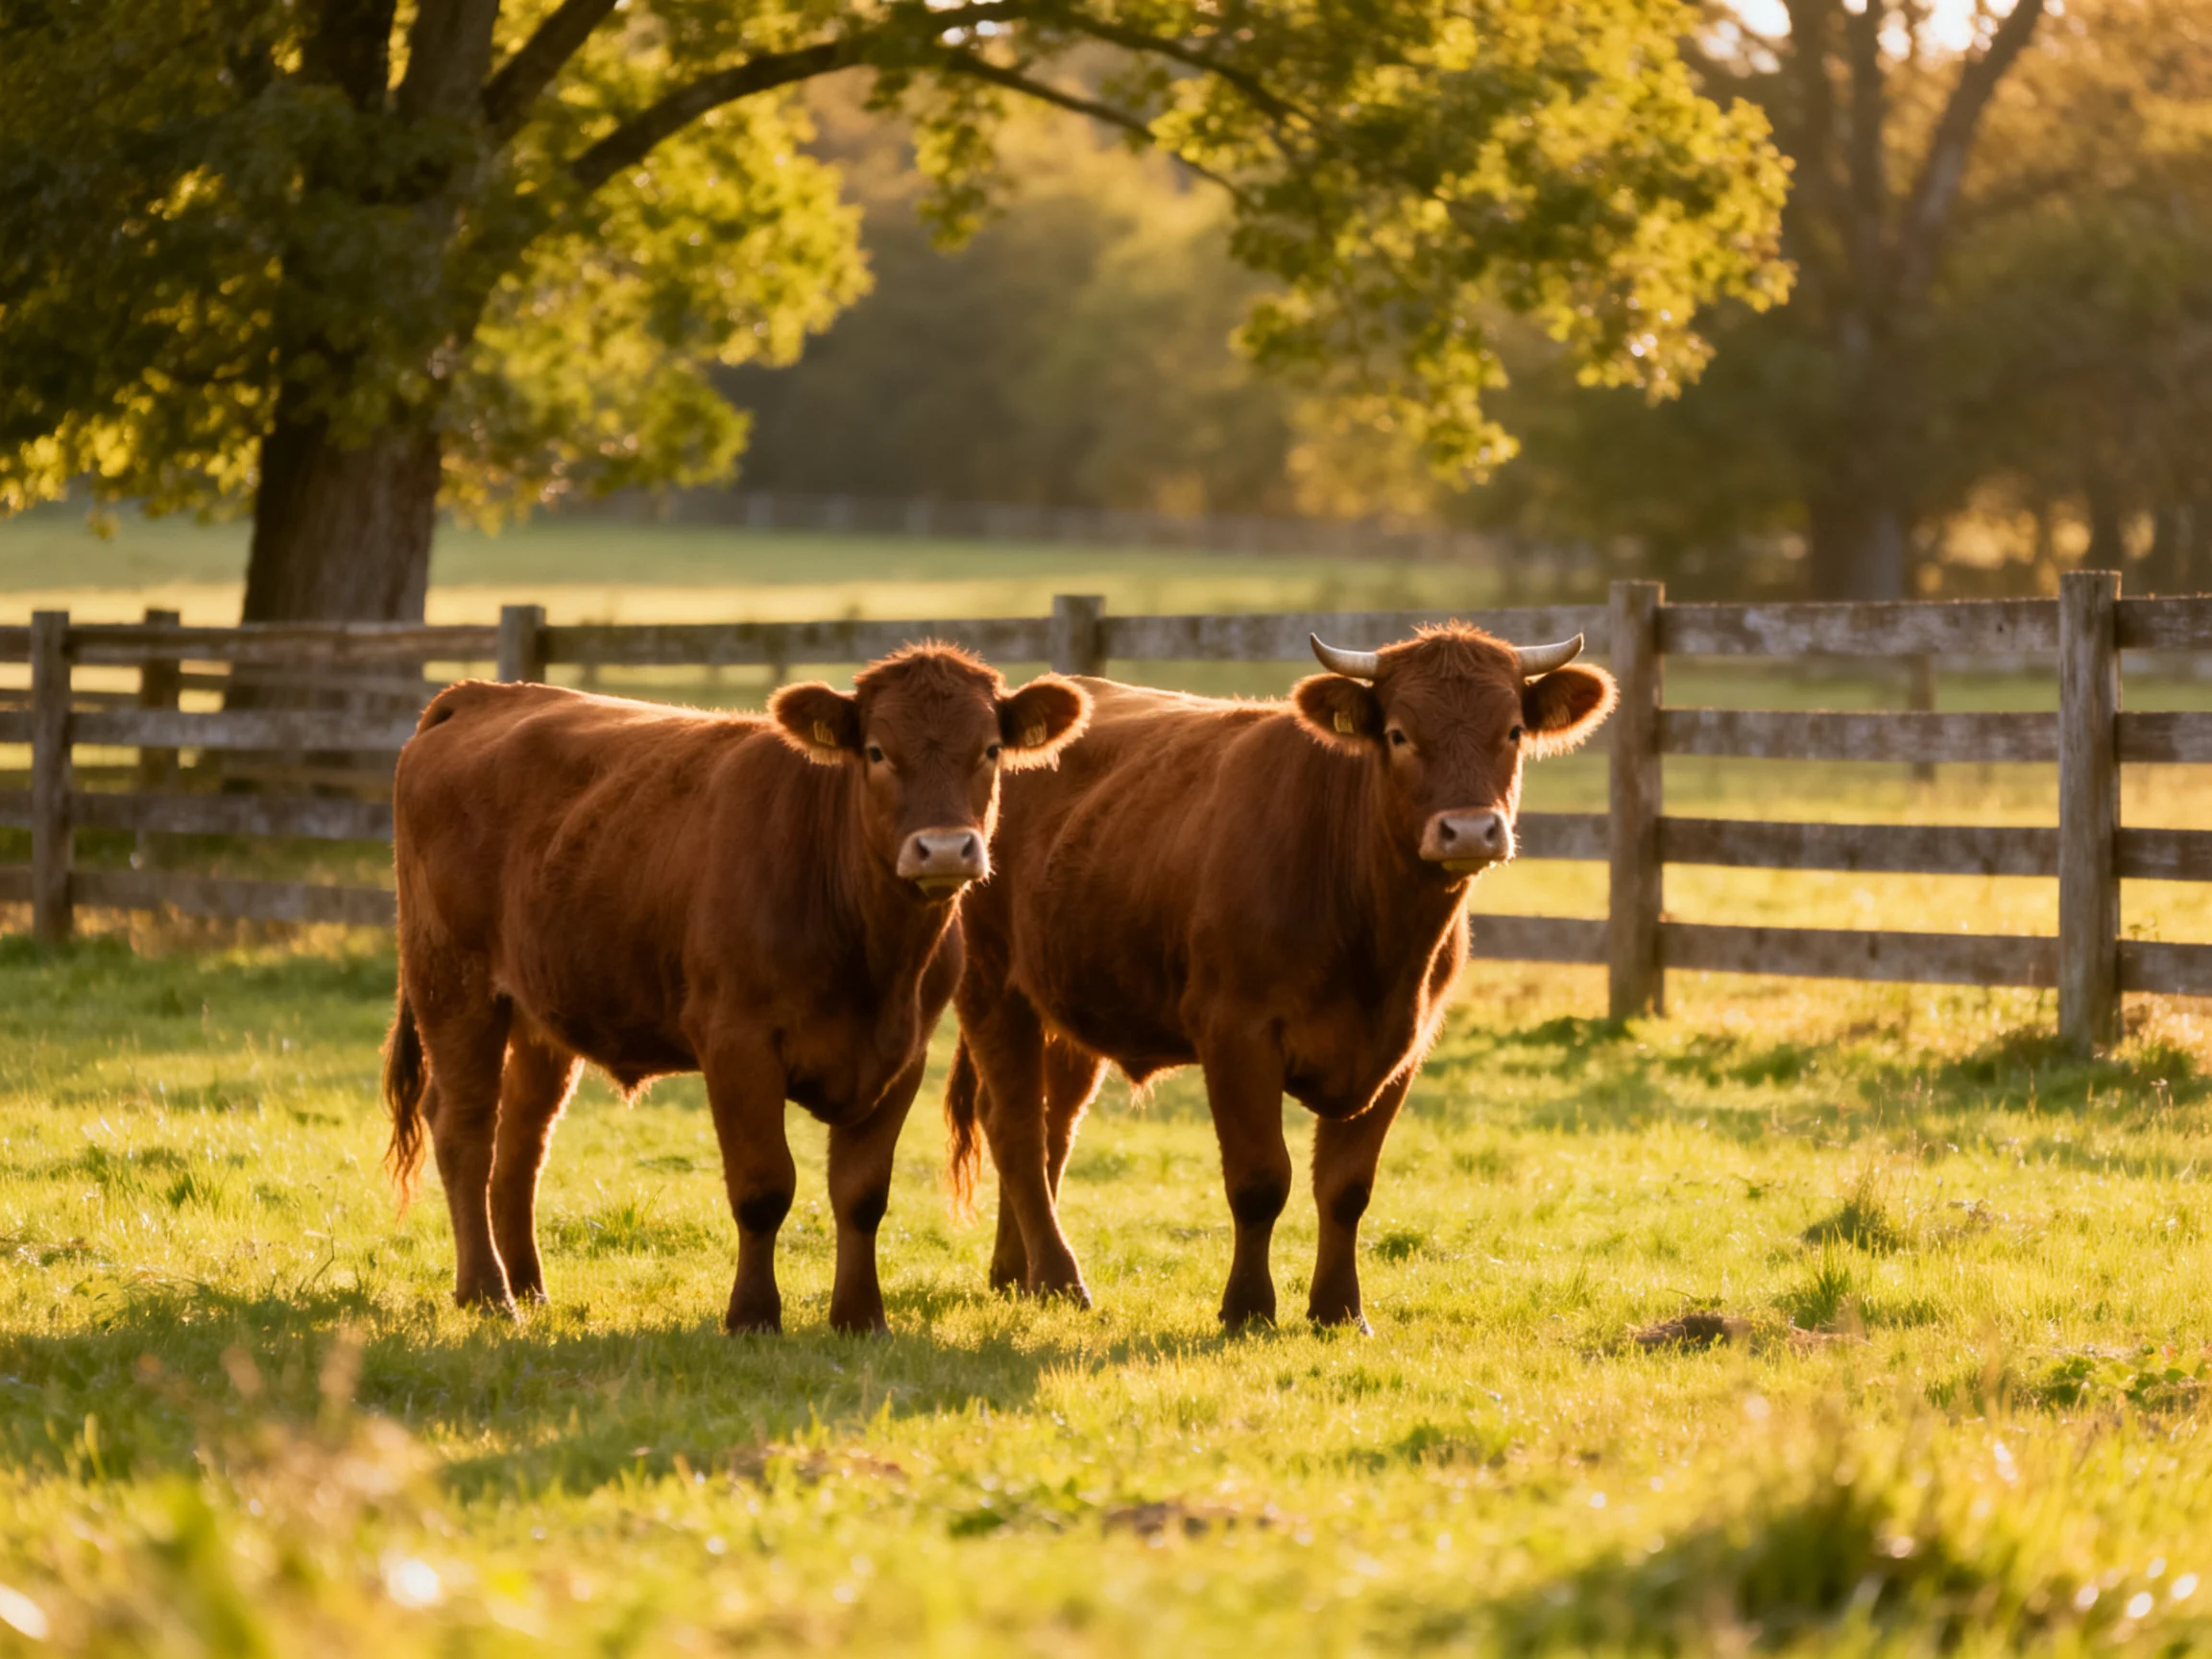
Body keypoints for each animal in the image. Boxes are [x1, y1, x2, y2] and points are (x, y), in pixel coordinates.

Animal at [381, 645, 1089, 1333]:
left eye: (990, 750)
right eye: (877, 751)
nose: (943, 850)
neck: (872, 956)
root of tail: (483, 694)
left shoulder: (903, 1054)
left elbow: (862, 1194)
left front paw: (861, 1318)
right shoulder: (737, 1042)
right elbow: (763, 1187)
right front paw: (752, 1315)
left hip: (539, 1011)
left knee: (523, 1139)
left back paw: (528, 1287)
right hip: (454, 982)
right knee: (466, 1130)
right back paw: (487, 1292)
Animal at [945, 624, 1616, 1331]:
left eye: (1512, 730)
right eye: (1399, 733)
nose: (1469, 831)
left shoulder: (1403, 1050)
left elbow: (1347, 1188)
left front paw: (1339, 1310)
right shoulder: (1236, 1033)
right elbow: (1260, 1179)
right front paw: (1247, 1308)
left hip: (1072, 1003)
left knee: (1052, 1126)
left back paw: (1015, 1272)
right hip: (992, 983)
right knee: (1016, 1125)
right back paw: (1058, 1278)